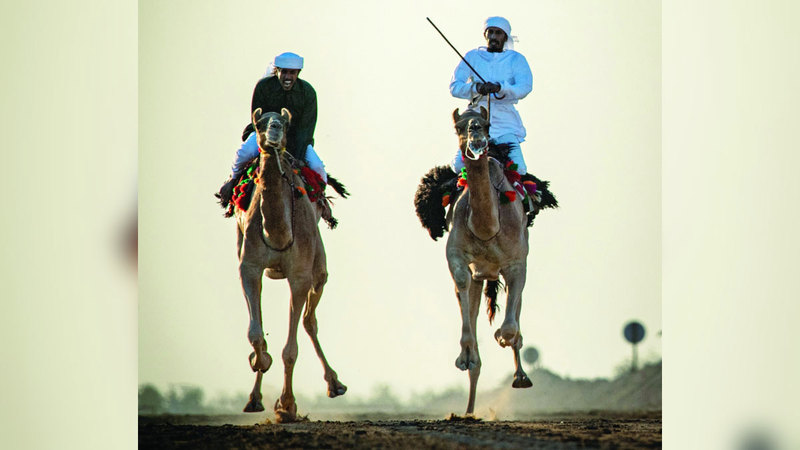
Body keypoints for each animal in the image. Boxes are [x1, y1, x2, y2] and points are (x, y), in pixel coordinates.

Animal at [231, 108, 344, 422]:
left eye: (285, 122)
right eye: (258, 123)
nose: (274, 131)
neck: (278, 233)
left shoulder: (300, 275)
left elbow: (290, 350)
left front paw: (286, 406)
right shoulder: (249, 268)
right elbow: (255, 333)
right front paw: (260, 362)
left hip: (319, 268)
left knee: (309, 320)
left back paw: (335, 384)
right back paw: (255, 397)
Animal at [446, 105, 536, 414]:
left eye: (486, 124)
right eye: (459, 127)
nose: (476, 138)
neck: (486, 227)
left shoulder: (516, 263)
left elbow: (510, 326)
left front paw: (501, 336)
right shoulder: (457, 256)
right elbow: (461, 286)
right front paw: (465, 356)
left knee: (516, 313)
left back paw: (520, 376)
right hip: (481, 276)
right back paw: (468, 409)